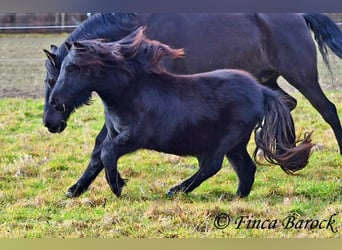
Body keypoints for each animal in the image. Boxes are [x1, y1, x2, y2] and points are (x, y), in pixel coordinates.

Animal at [43, 13, 342, 198]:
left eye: (52, 77)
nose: (49, 122)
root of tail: (300, 15)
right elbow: (100, 148)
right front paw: (77, 188)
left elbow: (104, 148)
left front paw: (109, 184)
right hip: (267, 79)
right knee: (285, 105)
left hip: (301, 75)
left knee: (327, 110)